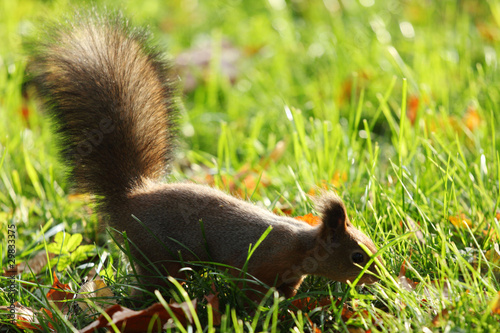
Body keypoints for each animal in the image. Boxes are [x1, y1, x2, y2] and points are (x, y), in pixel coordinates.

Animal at [29, 12, 380, 298]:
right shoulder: (256, 264)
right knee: (152, 283)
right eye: (357, 257)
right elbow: (249, 292)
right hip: (153, 253)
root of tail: (127, 197)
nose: (378, 277)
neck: (299, 246)